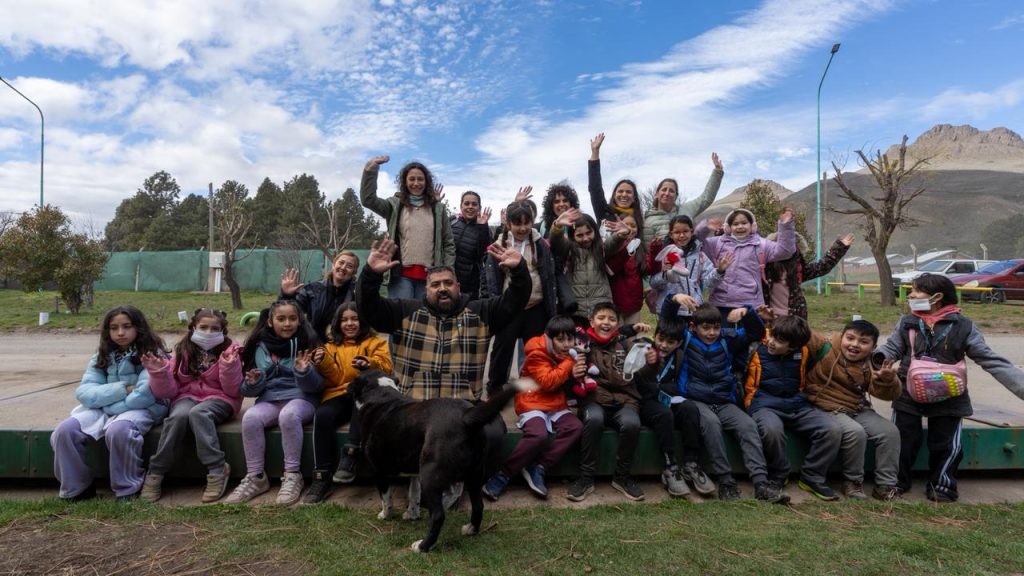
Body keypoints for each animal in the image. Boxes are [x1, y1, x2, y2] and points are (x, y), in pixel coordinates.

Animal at [349, 369, 516, 553]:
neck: (381, 394)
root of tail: (466, 417)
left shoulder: (380, 470)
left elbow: (386, 499)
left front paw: (385, 515)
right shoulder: (414, 473)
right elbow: (414, 494)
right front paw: (412, 514)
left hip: (430, 475)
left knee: (438, 515)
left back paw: (422, 546)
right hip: (474, 474)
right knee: (478, 505)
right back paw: (471, 529)